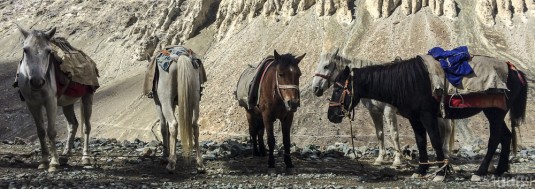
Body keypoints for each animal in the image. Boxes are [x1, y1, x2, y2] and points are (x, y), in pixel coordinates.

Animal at [16, 25, 93, 171]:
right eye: (25, 50)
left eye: (48, 51)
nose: (37, 82)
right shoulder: (32, 104)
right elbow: (40, 132)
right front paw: (44, 161)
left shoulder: (50, 102)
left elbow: (51, 131)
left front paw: (53, 163)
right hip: (67, 103)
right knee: (73, 125)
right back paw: (65, 156)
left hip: (88, 97)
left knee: (86, 127)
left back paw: (85, 158)